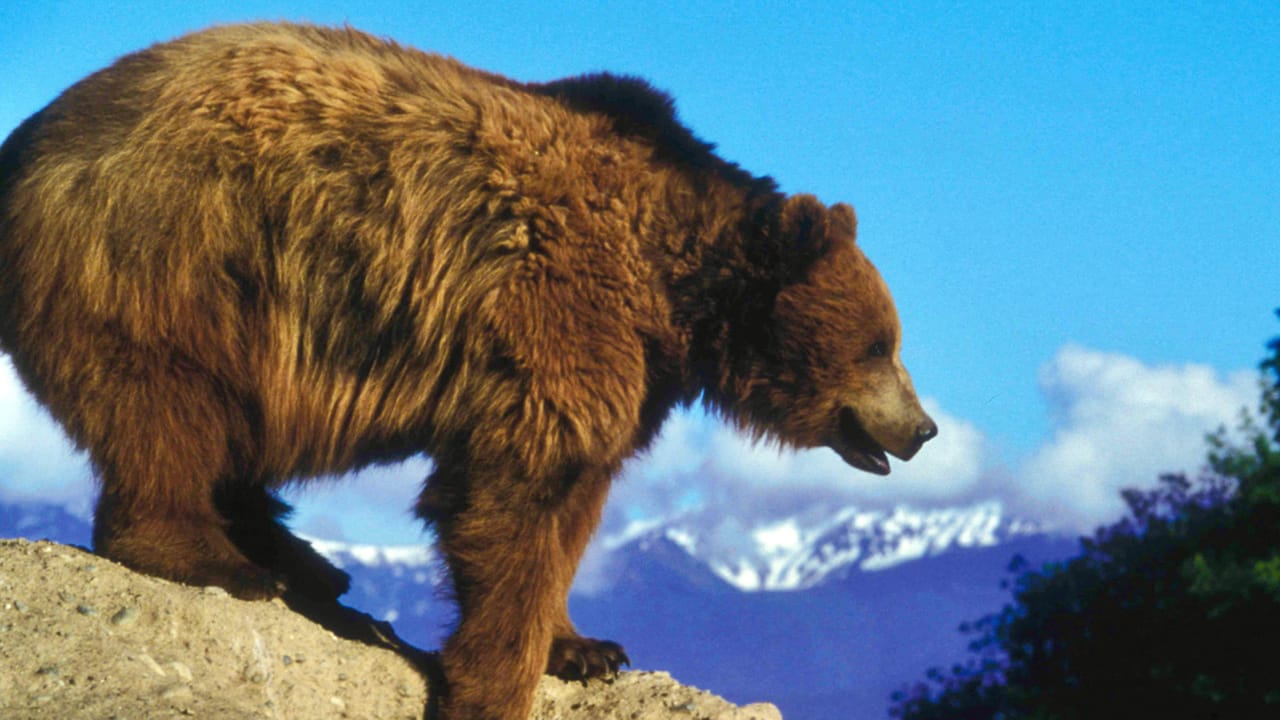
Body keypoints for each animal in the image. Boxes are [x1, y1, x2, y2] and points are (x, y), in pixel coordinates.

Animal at [0, 22, 937, 720]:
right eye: (881, 346)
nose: (924, 428)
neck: (672, 289)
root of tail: (30, 141)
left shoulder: (627, 371)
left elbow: (575, 506)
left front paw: (585, 646)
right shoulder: (557, 309)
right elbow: (511, 496)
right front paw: (493, 683)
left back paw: (306, 562)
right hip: (174, 257)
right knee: (169, 406)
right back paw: (223, 560)